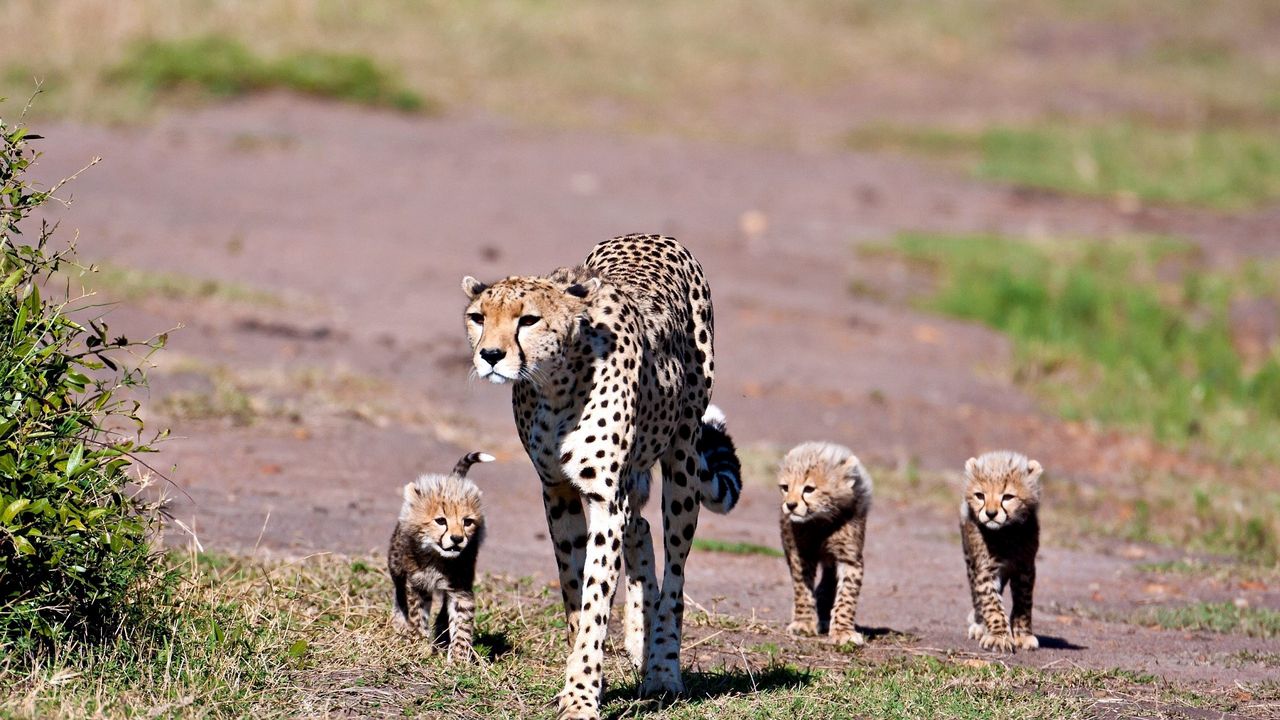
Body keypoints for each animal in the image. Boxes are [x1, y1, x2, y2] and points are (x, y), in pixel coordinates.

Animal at [463, 234, 742, 712]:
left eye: (529, 319)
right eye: (478, 317)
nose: (491, 355)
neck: (555, 385)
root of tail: (651, 235)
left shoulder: (604, 499)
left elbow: (596, 596)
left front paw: (580, 697)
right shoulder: (556, 489)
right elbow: (575, 588)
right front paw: (583, 677)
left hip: (683, 460)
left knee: (675, 571)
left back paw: (662, 668)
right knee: (641, 528)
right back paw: (638, 641)